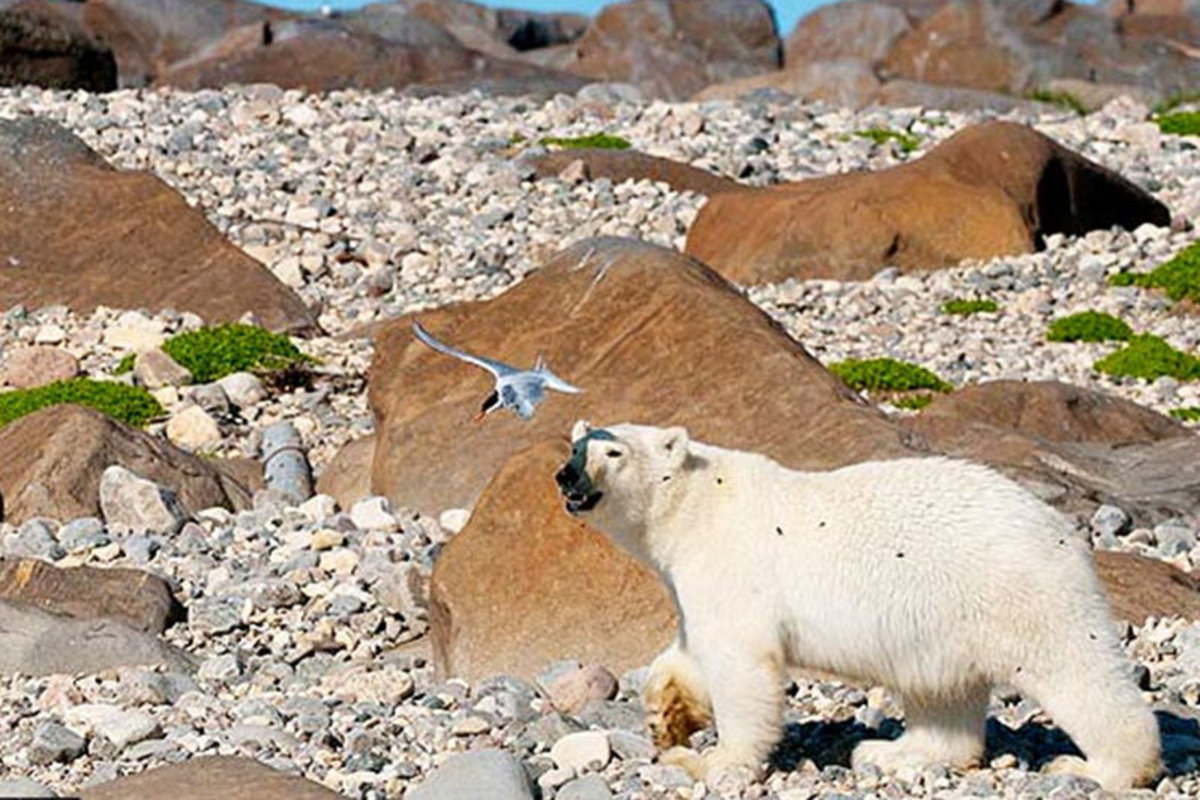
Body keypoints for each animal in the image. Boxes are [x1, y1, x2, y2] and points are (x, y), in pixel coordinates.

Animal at [554, 422, 1161, 791]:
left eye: (613, 452)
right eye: (575, 446)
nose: (567, 475)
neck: (697, 505)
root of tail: (1062, 530)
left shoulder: (733, 564)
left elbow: (741, 664)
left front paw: (717, 761)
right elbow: (689, 649)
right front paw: (667, 715)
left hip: (1020, 593)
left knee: (1076, 671)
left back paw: (1101, 766)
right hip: (947, 622)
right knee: (943, 696)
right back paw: (890, 753)